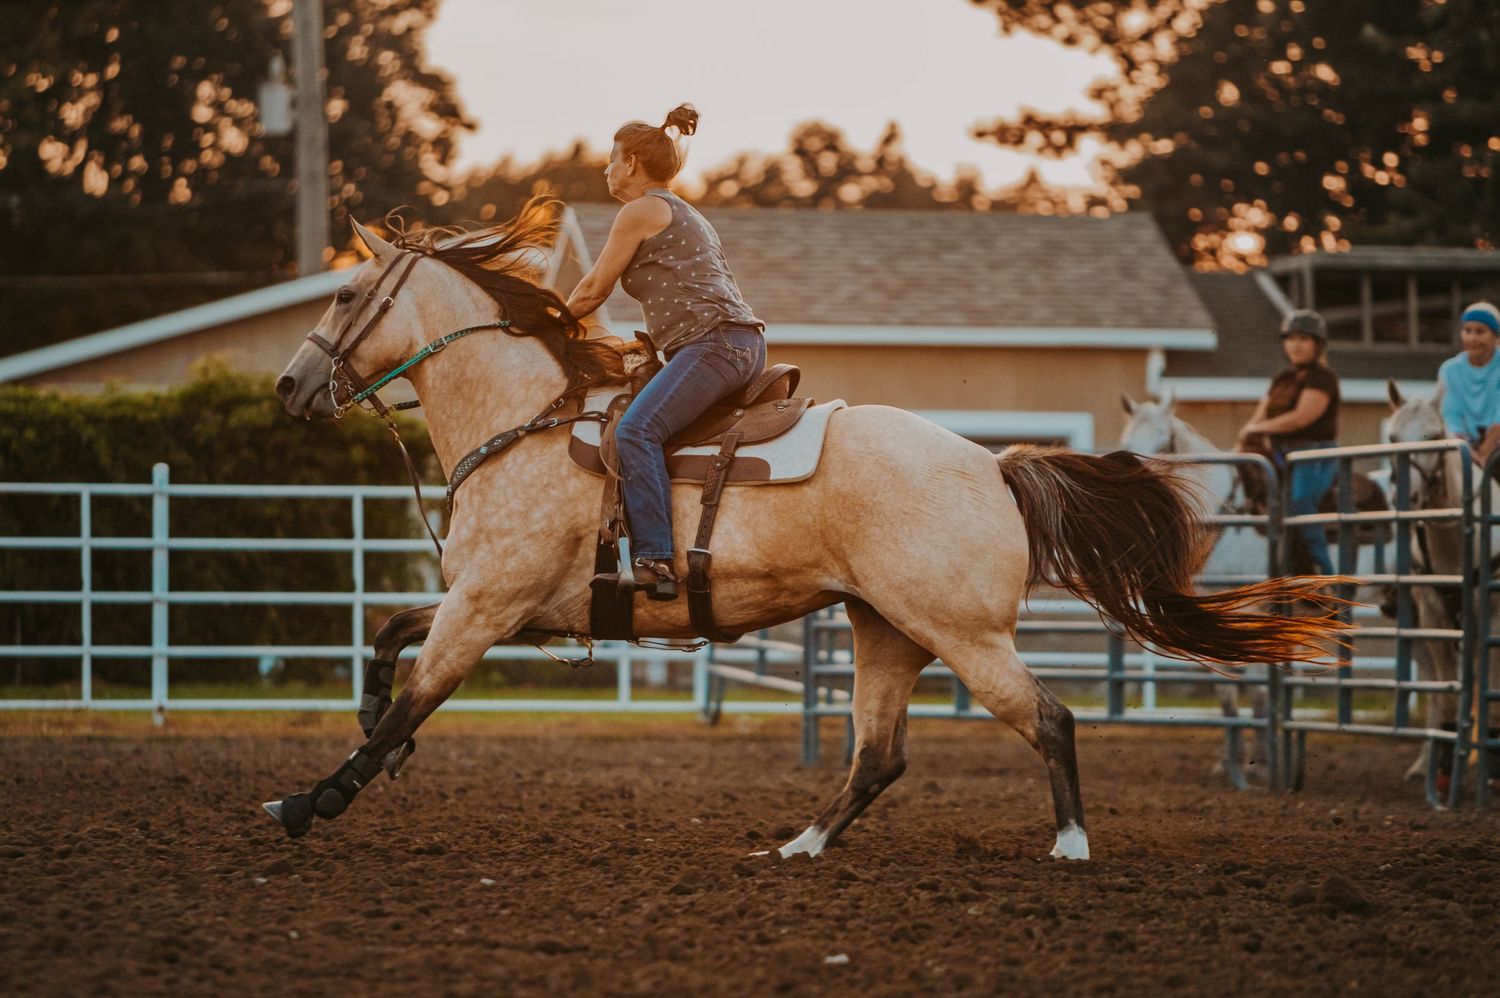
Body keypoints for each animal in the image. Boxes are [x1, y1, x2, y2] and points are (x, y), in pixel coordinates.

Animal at [264, 199, 1348, 860]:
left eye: (348, 294)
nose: (287, 384)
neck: (522, 422)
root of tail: (993, 465)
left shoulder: (489, 605)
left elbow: (413, 700)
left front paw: (308, 800)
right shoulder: (504, 603)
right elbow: (388, 640)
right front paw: (365, 727)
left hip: (962, 634)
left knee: (1048, 719)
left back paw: (1070, 844)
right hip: (887, 631)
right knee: (878, 755)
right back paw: (799, 845)